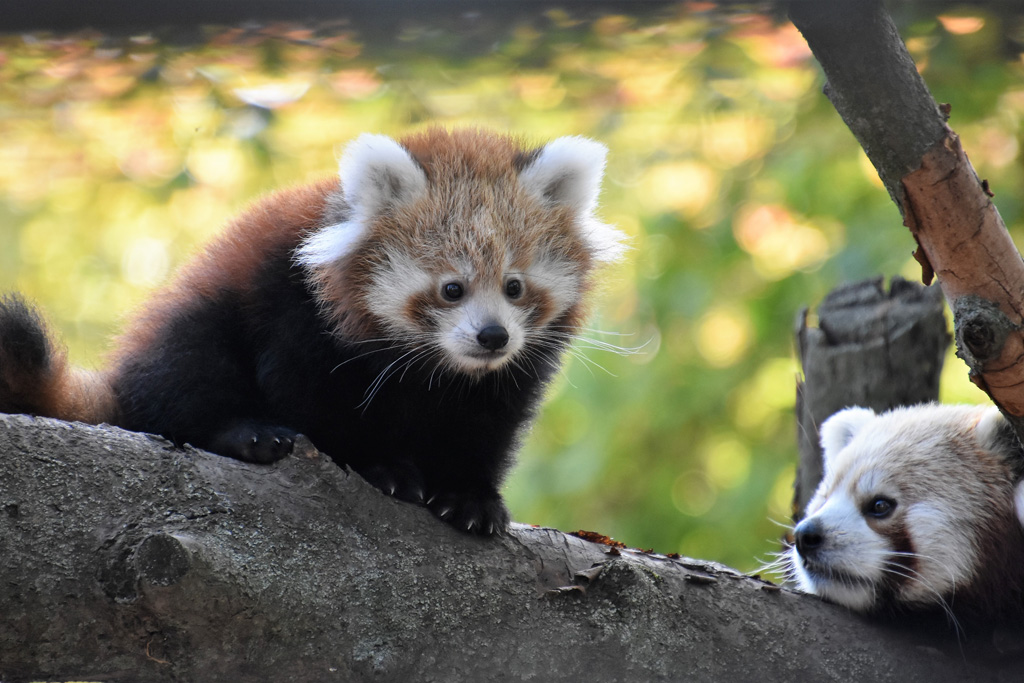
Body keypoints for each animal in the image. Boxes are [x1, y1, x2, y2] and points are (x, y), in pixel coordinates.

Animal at [0, 126, 622, 532]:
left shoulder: (511, 372)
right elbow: (313, 403)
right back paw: (242, 433)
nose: (493, 337)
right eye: (452, 289)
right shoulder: (295, 308)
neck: (431, 365)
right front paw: (380, 468)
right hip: (191, 322)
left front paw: (468, 496)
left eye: (514, 287)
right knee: (185, 371)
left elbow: (486, 426)